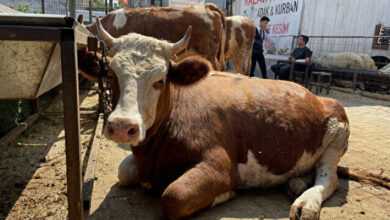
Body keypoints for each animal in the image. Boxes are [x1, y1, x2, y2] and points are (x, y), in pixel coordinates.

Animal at [92, 16, 350, 218]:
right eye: (112, 76)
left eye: (160, 80)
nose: (122, 126)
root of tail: (317, 97)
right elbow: (124, 171)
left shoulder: (218, 163)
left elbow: (174, 197)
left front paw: (225, 193)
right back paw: (296, 183)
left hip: (337, 136)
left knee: (328, 177)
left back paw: (306, 202)